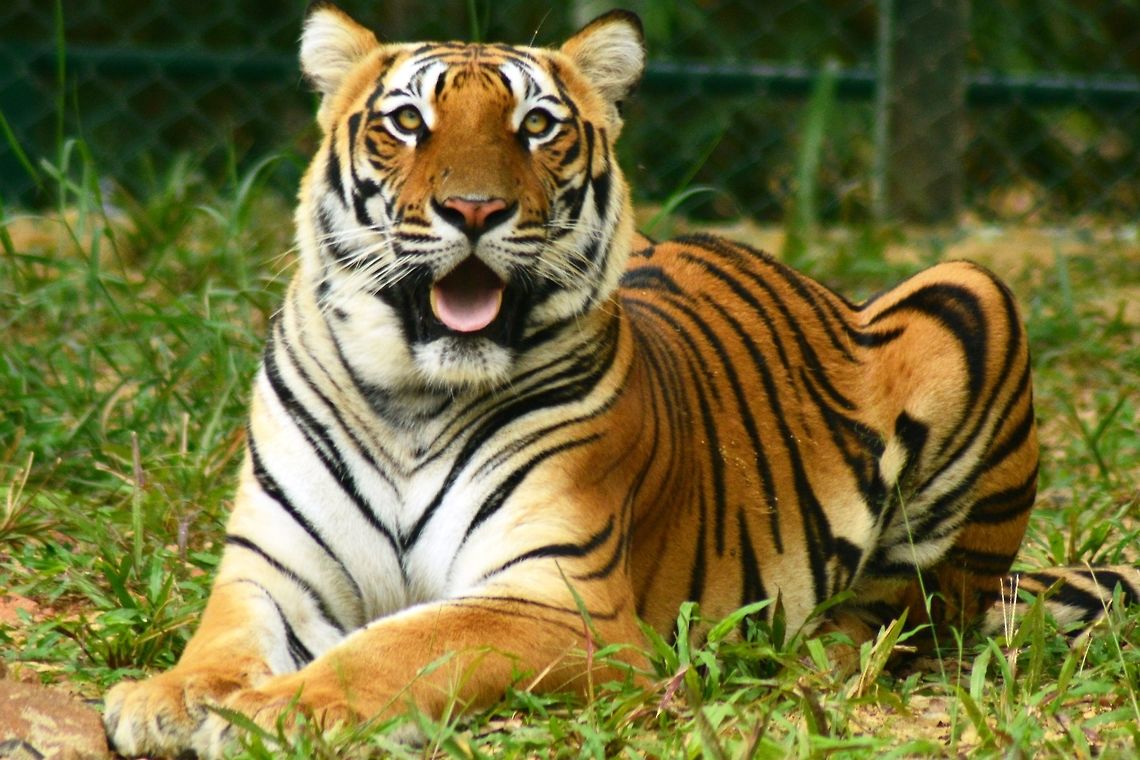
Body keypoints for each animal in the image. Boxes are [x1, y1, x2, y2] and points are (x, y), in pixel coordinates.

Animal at [103, 4, 1139, 757]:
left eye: (535, 126)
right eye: (407, 122)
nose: (472, 208)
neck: (413, 396)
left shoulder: (559, 602)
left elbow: (404, 647)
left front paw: (272, 713)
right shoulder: (273, 566)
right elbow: (221, 642)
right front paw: (165, 698)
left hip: (971, 295)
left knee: (907, 617)